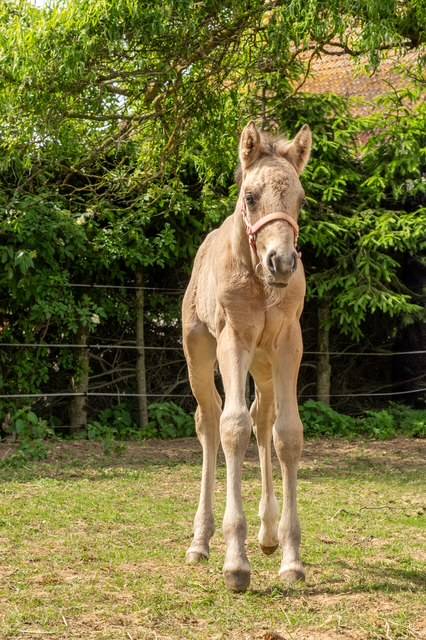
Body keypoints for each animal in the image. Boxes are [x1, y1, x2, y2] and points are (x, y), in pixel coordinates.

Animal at [182, 121, 312, 592]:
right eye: (251, 197)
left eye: (300, 200)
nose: (282, 262)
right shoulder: (233, 340)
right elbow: (232, 427)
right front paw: (236, 564)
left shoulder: (289, 343)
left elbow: (287, 434)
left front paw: (291, 559)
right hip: (200, 353)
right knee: (209, 420)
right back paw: (200, 542)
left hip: (265, 364)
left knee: (263, 418)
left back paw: (269, 534)